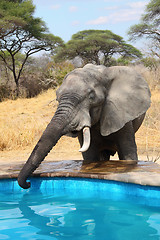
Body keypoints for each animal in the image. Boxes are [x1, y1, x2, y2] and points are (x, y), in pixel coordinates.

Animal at [17, 64, 151, 189]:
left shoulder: (120, 113)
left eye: (91, 97)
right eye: (57, 98)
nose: (28, 183)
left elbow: (128, 153)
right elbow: (90, 155)